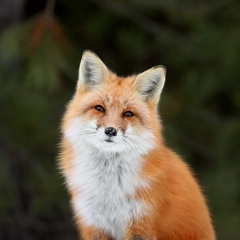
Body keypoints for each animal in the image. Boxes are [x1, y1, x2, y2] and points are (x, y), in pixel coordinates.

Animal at [59, 49, 216, 239]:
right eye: (99, 108)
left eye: (128, 113)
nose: (110, 131)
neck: (108, 190)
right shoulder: (94, 224)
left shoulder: (141, 223)